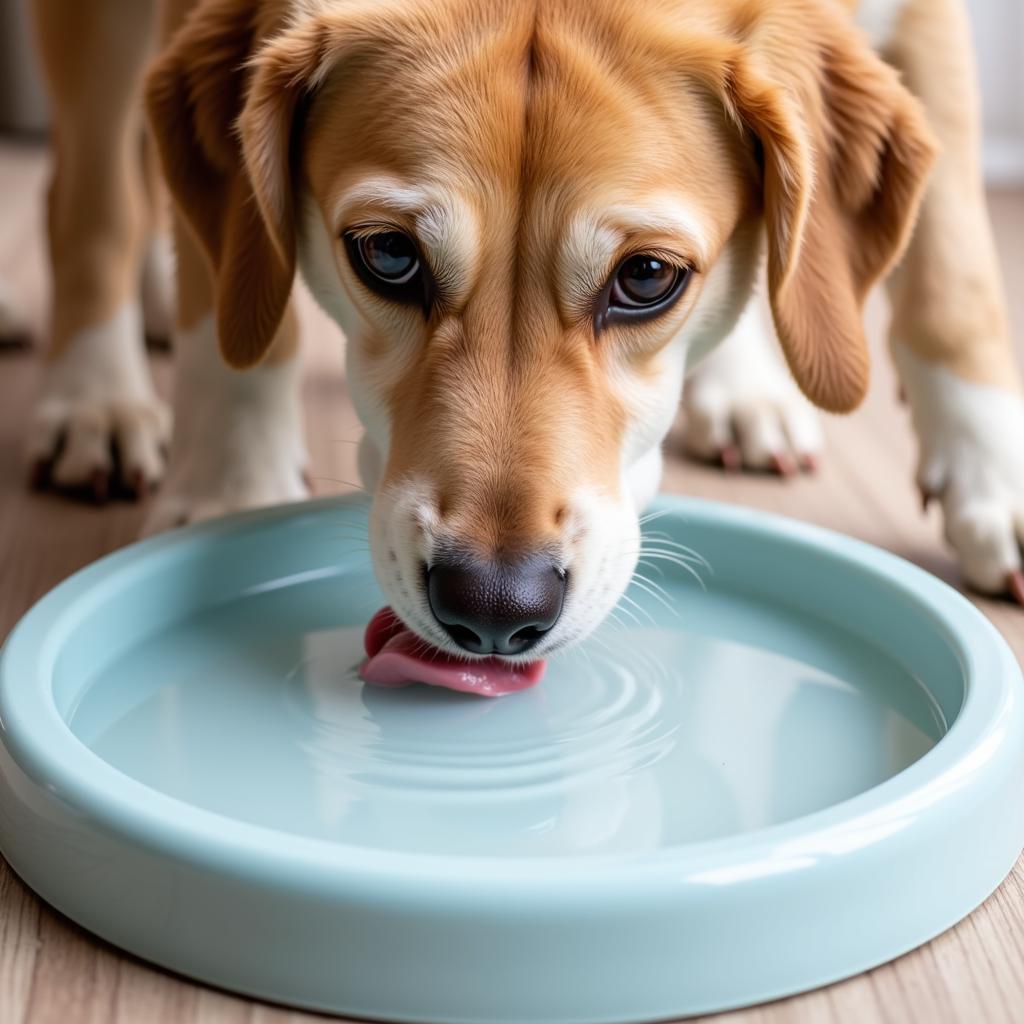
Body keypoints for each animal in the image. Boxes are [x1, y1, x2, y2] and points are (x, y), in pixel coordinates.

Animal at [18, 0, 1024, 663]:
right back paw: (95, 395)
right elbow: (233, 314)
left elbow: (958, 283)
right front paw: (235, 485)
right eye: (388, 254)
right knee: (87, 198)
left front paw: (997, 484)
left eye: (647, 278)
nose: (497, 608)